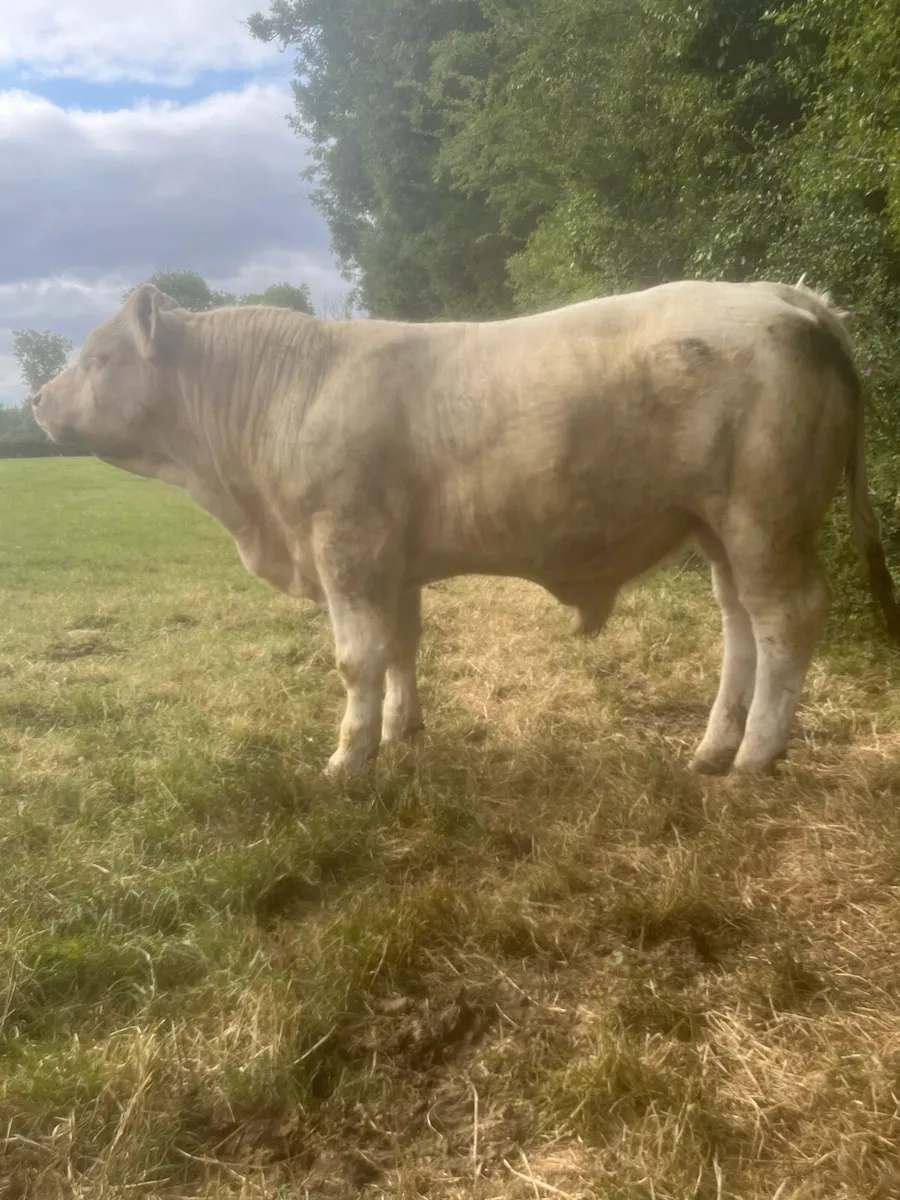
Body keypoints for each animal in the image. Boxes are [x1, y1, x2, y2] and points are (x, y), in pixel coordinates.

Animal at [32, 278, 900, 777]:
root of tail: (787, 295)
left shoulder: (345, 545)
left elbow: (356, 659)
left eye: (101, 357)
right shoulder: (391, 563)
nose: (37, 400)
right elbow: (400, 648)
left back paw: (756, 756)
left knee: (786, 619)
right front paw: (400, 731)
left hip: (764, 517)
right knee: (740, 627)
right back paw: (714, 747)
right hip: (717, 525)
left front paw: (348, 759)